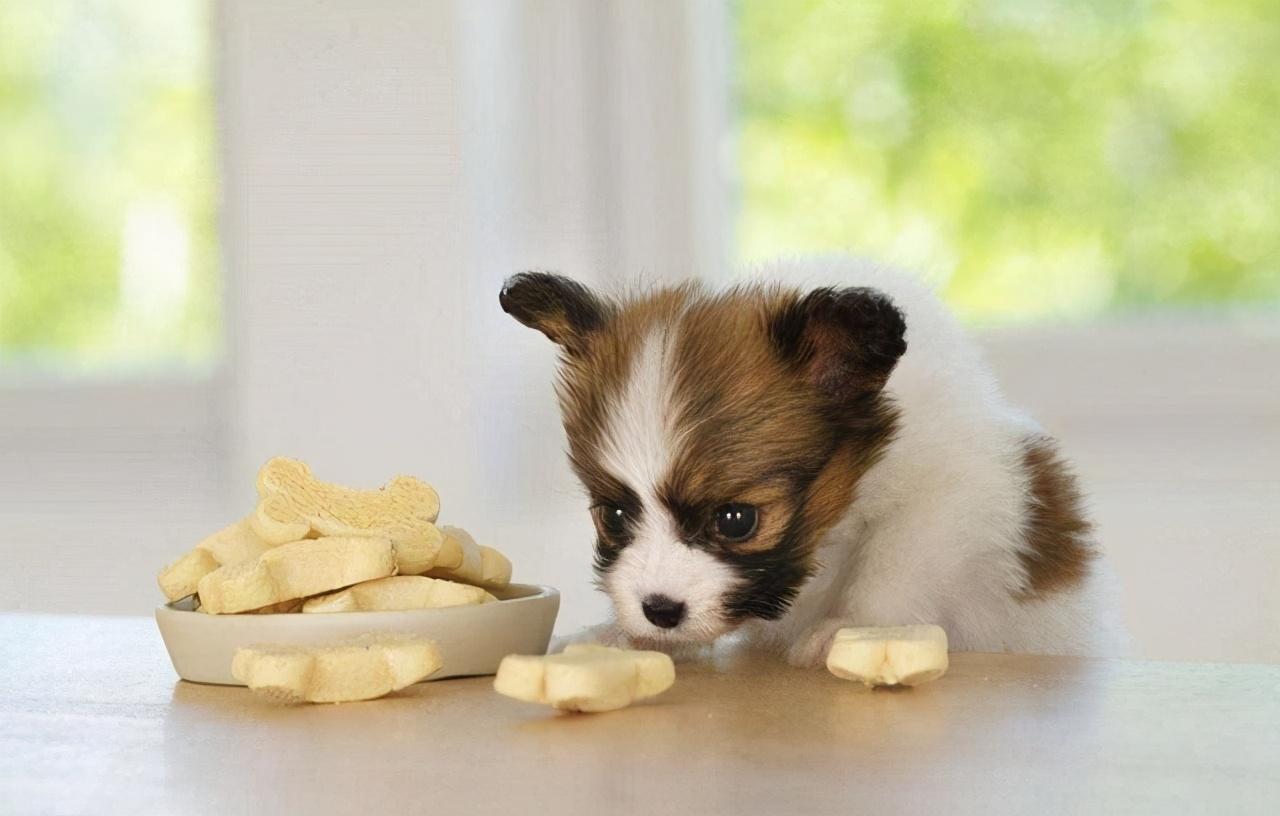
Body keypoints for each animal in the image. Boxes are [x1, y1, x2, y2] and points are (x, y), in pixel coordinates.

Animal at [499, 258, 1121, 670]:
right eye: (614, 517)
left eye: (737, 520)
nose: (658, 611)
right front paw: (629, 639)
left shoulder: (950, 497)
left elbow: (893, 564)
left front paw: (856, 628)